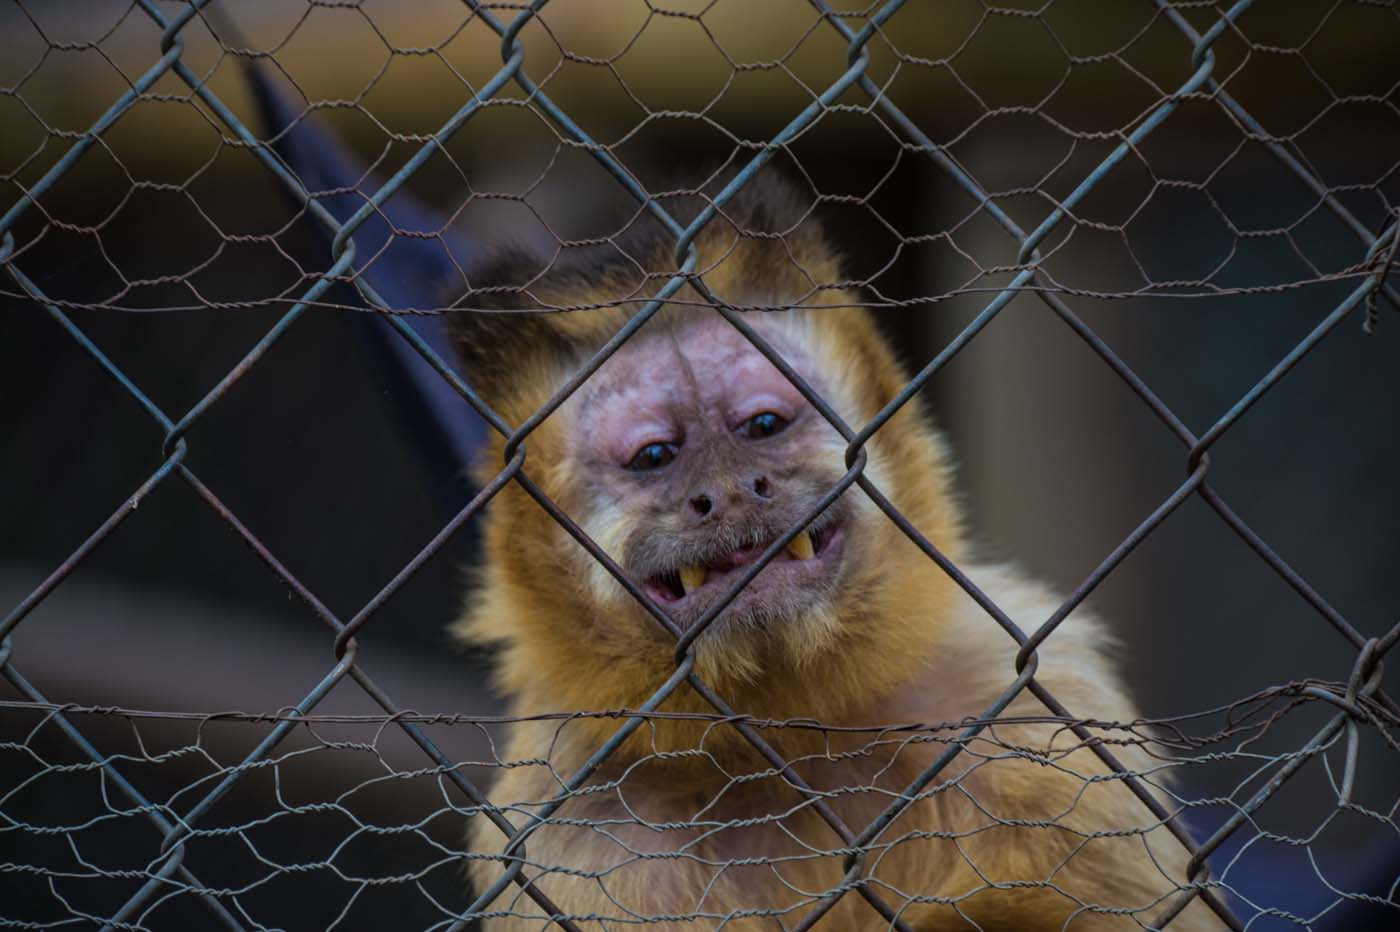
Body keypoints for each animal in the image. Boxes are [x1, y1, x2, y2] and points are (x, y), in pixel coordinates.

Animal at [445, 176, 1215, 929]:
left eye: (762, 426)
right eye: (655, 456)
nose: (731, 491)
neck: (793, 738)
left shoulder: (1035, 713)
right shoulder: (575, 827)